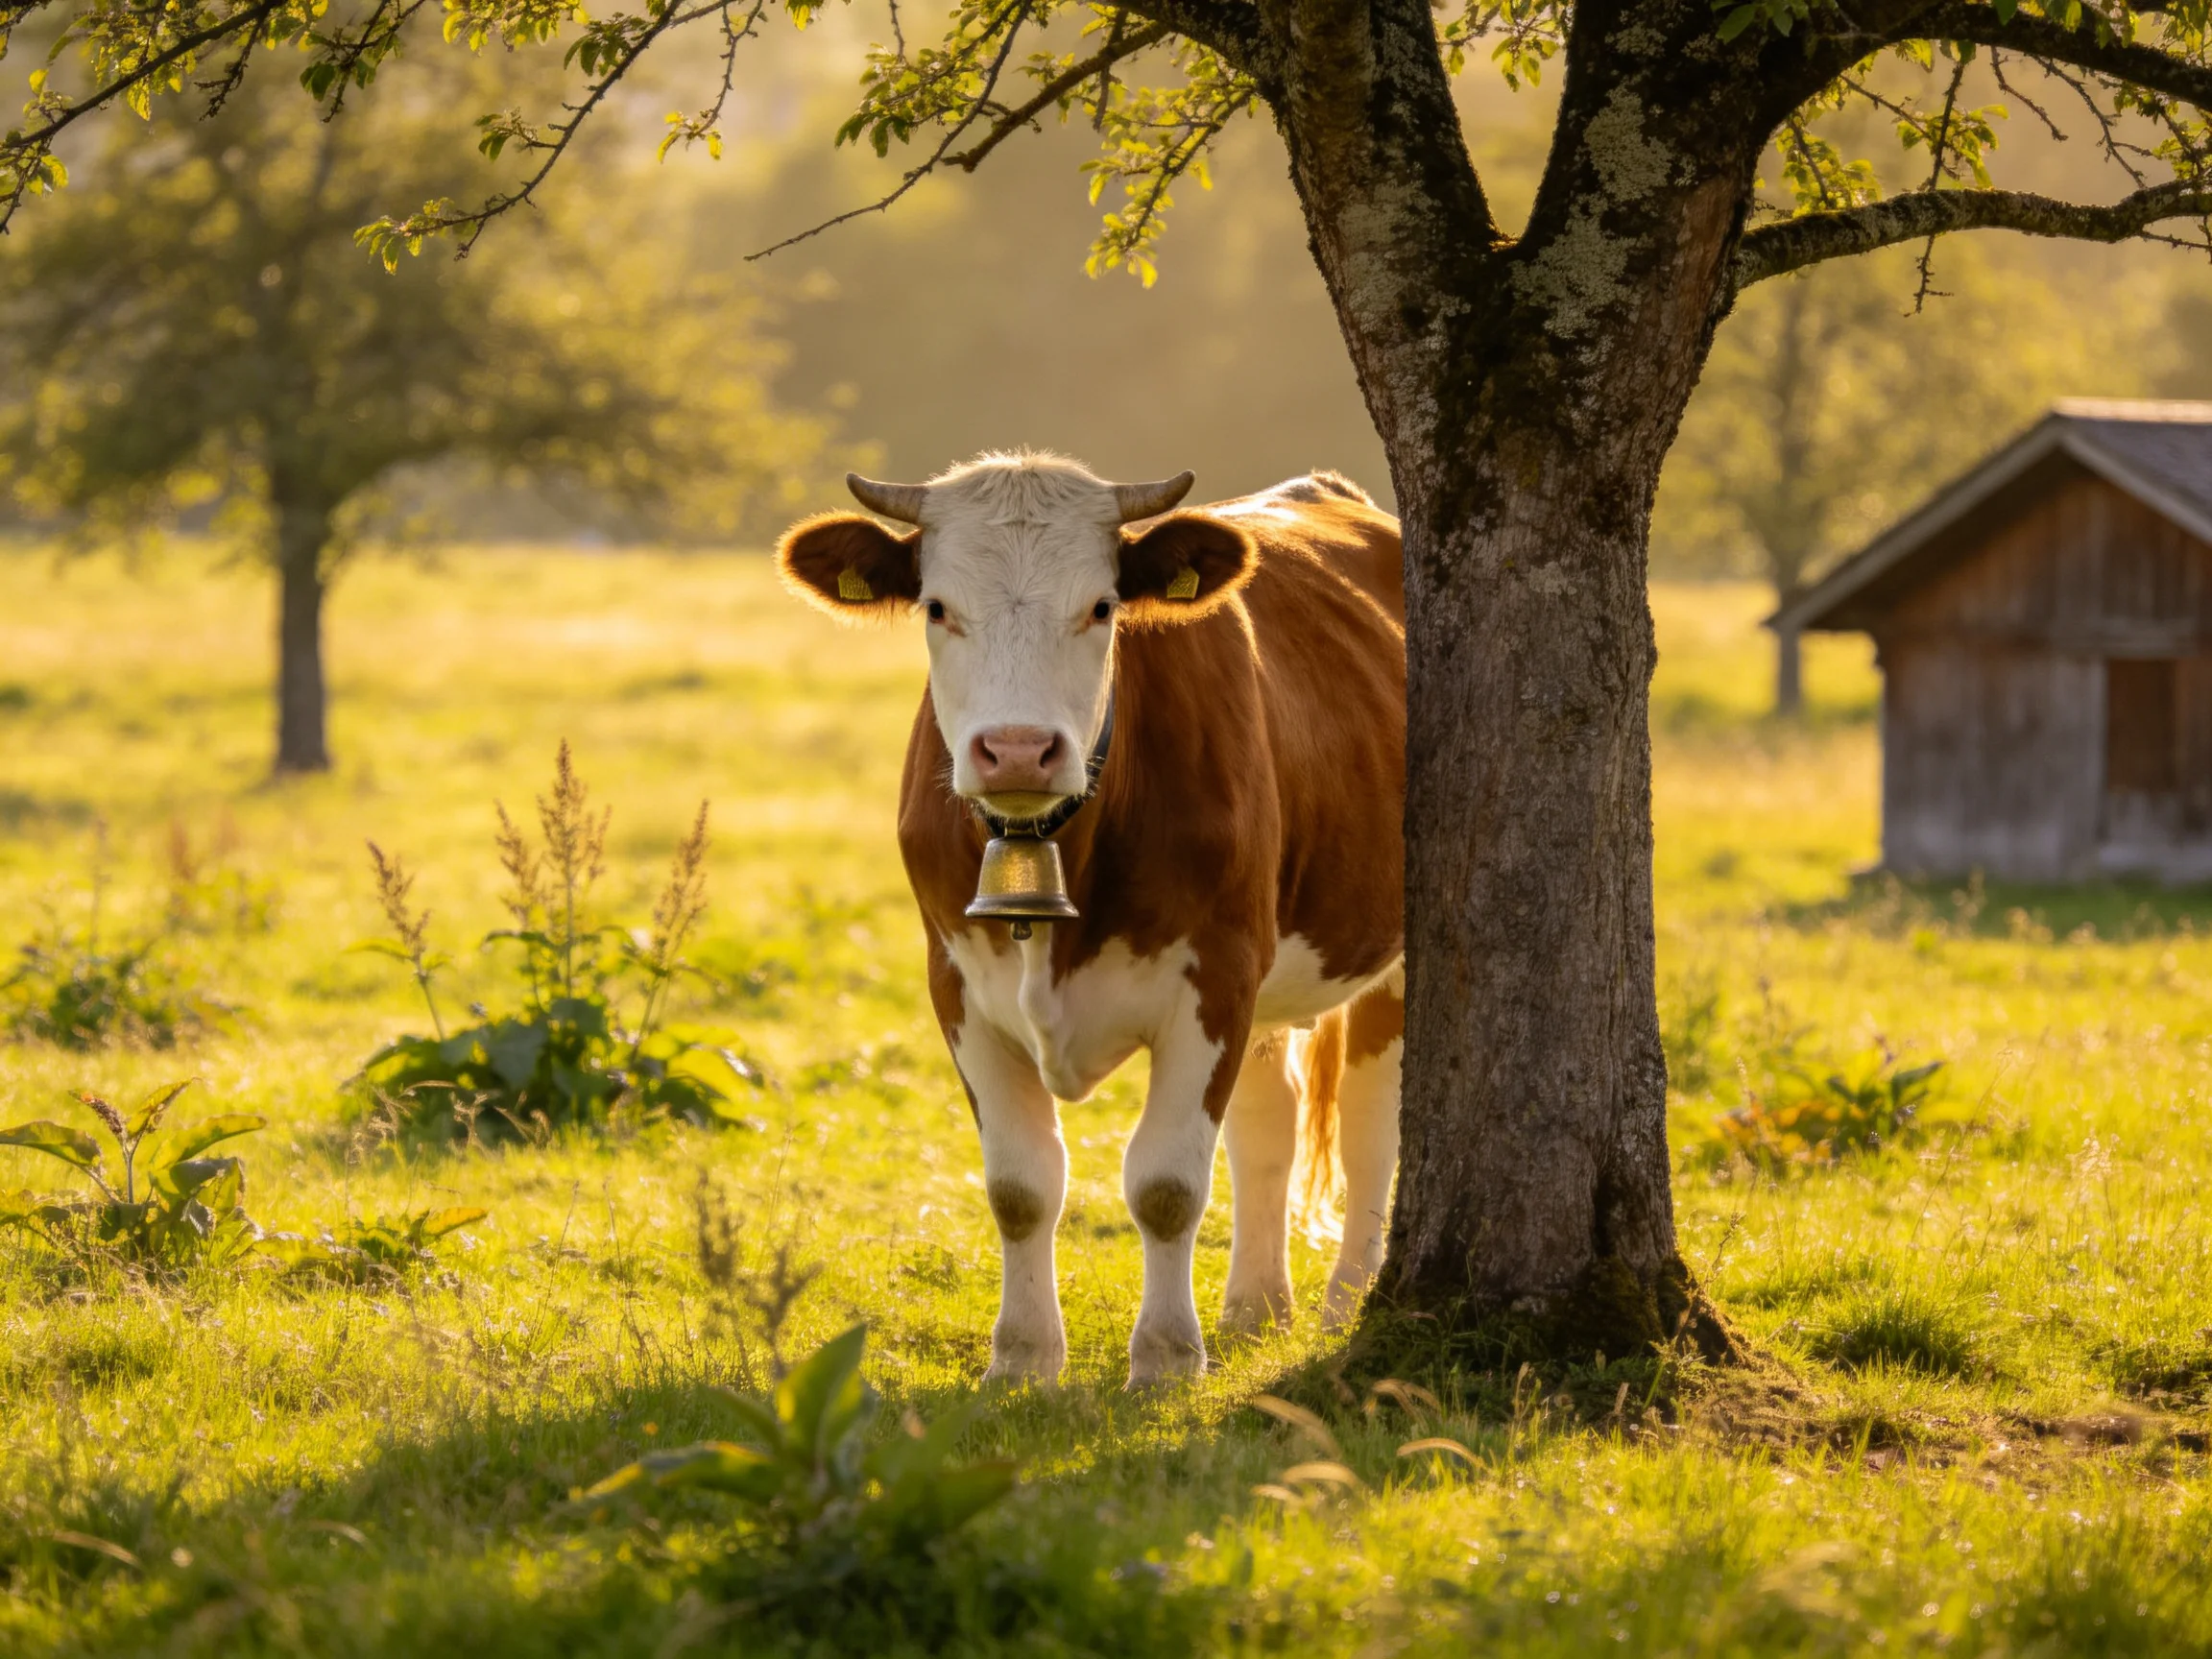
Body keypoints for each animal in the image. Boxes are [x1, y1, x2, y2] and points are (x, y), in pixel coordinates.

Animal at [776, 453, 1404, 1385]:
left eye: (1103, 606)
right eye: (936, 606)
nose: (1017, 750)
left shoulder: (1215, 975)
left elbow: (1167, 1185)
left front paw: (1168, 1359)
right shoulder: (957, 984)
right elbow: (1020, 1186)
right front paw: (1023, 1359)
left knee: (1368, 1126)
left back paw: (1343, 1306)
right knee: (1270, 1121)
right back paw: (1254, 1311)